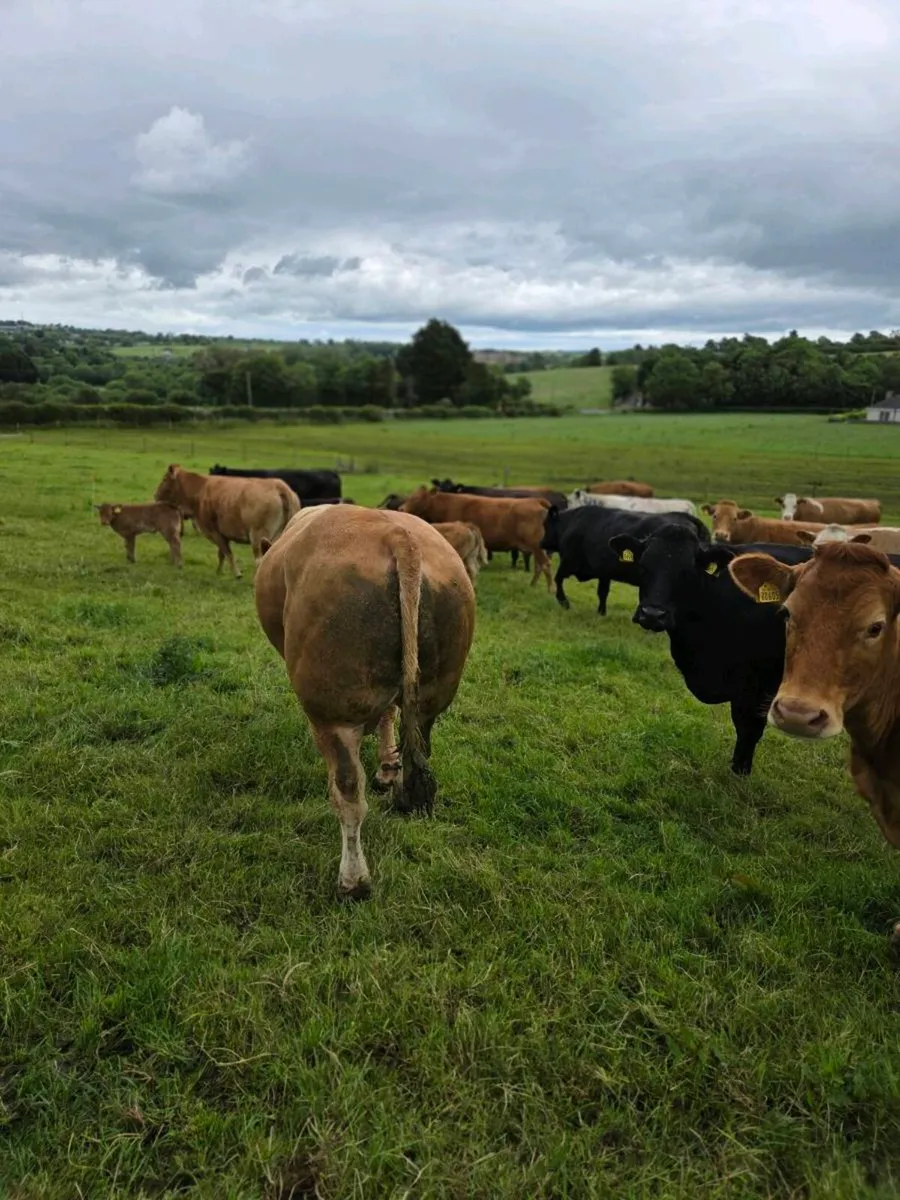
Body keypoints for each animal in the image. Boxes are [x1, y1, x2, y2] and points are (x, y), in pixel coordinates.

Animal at [155, 464, 299, 578]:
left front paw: (236, 574)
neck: (200, 489)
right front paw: (219, 572)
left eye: (164, 479)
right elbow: (222, 554)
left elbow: (227, 553)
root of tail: (279, 486)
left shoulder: (215, 532)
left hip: (258, 536)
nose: (155, 495)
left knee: (261, 559)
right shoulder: (223, 534)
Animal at [254, 505, 476, 898]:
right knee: (418, 744)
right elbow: (388, 714)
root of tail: (398, 537)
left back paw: (353, 879)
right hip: (432, 693)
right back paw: (402, 792)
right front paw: (387, 768)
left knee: (348, 796)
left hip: (334, 715)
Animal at [399, 488, 553, 589]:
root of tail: (536, 501)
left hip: (536, 546)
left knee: (545, 564)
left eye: (417, 499)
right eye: (409, 496)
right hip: (538, 548)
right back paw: (532, 584)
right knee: (539, 565)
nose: (401, 509)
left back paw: (550, 590)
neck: (446, 505)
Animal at [540, 505, 710, 614]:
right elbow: (602, 592)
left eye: (546, 524)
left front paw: (564, 603)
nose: (541, 543)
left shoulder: (569, 561)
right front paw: (601, 612)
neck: (572, 522)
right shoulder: (604, 572)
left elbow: (558, 579)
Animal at [610, 521, 812, 773]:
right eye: (644, 566)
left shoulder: (761, 683)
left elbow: (749, 728)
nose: (652, 614)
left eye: (687, 572)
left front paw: (740, 771)